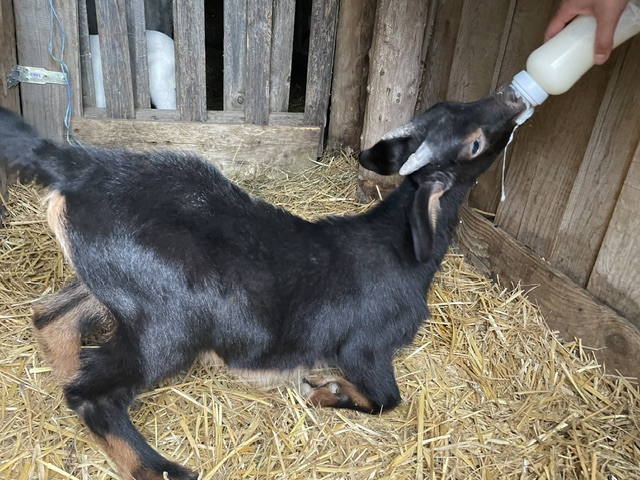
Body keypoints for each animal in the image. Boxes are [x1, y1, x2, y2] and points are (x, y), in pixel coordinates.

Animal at [0, 87, 525, 480]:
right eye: (475, 145)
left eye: (454, 104)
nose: (512, 96)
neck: (400, 246)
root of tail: (80, 170)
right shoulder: (365, 346)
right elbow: (385, 400)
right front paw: (322, 391)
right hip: (167, 325)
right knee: (91, 394)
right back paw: (164, 470)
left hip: (114, 286)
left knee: (52, 319)